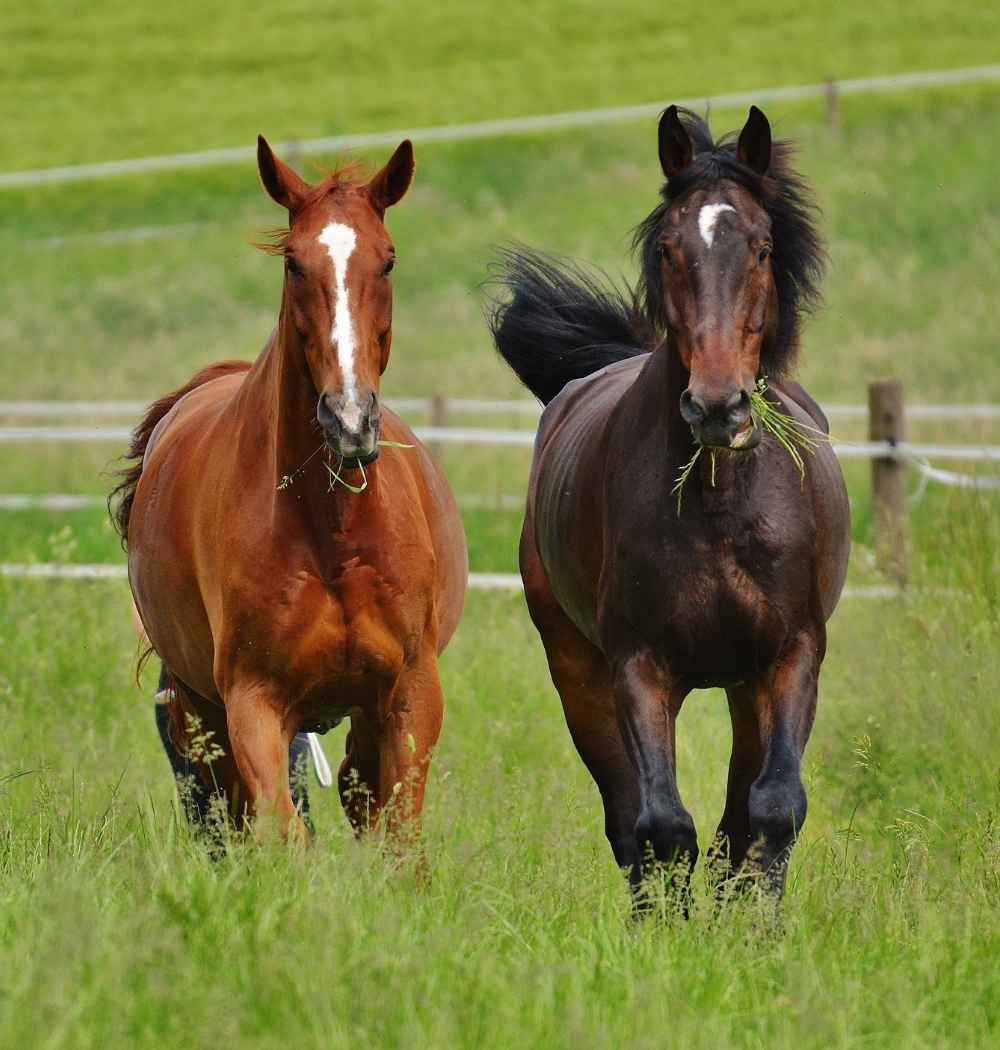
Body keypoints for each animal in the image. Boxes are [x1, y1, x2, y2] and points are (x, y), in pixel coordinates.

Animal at [111, 141, 470, 844]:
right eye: (294, 263)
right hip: (203, 711)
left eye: (388, 258)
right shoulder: (254, 702)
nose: (349, 420)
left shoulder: (410, 694)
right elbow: (282, 830)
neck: (332, 531)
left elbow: (397, 836)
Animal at [487, 106, 848, 898]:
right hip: (578, 673)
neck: (720, 508)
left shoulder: (792, 654)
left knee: (738, 814)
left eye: (763, 247)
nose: (717, 406)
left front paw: (758, 925)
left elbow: (771, 810)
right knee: (629, 822)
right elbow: (661, 827)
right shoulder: (638, 667)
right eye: (669, 248)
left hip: (745, 687)